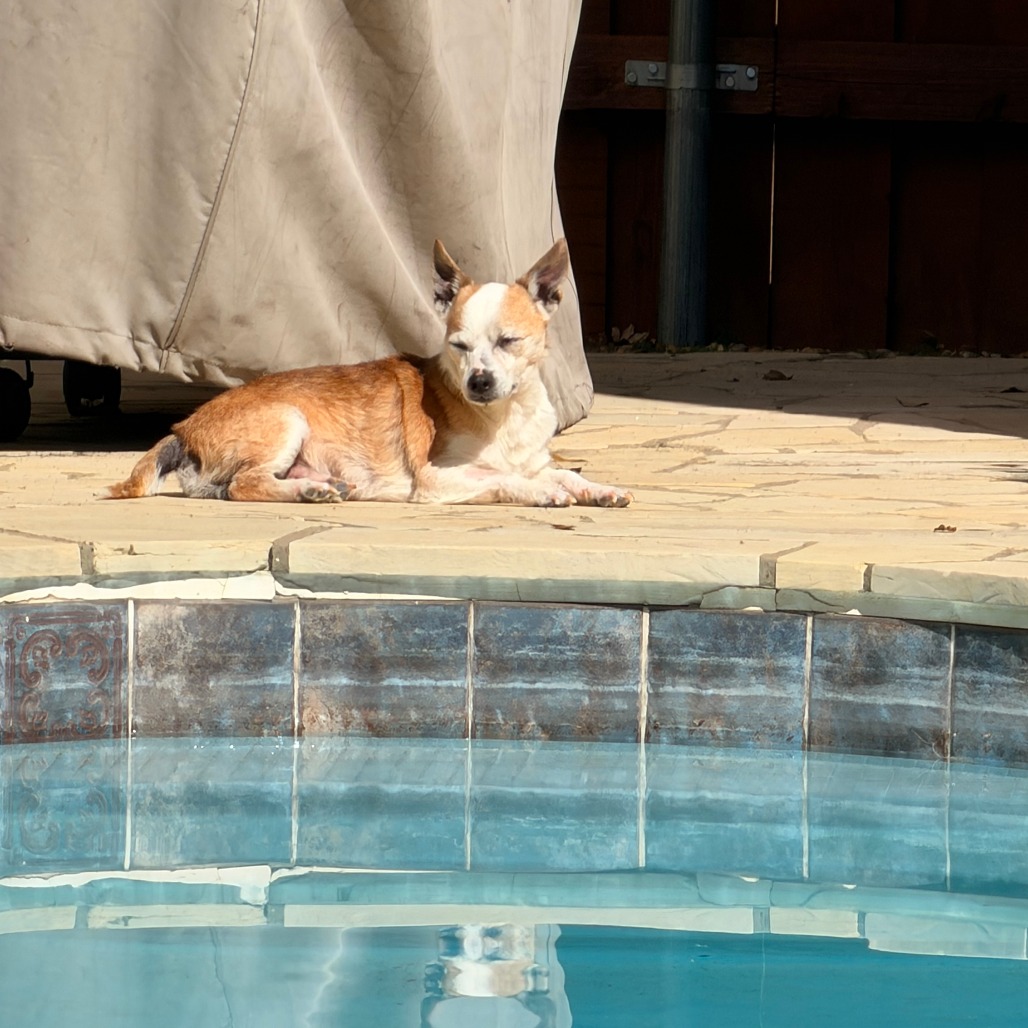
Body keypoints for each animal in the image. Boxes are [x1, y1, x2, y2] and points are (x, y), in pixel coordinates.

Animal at [107, 239, 633, 508]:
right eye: (458, 347)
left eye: (509, 341)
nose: (478, 382)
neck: (506, 416)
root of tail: (183, 427)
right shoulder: (437, 479)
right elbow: (507, 478)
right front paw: (544, 493)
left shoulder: (534, 459)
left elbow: (562, 473)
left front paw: (600, 490)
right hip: (288, 418)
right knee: (243, 486)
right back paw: (310, 491)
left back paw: (318, 487)